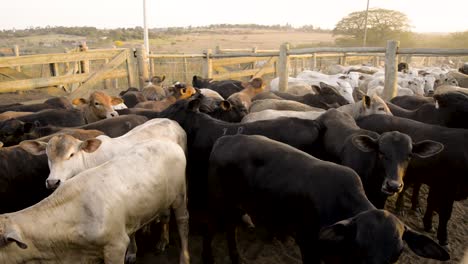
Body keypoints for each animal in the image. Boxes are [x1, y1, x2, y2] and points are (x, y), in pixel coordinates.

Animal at [356, 114, 468, 246]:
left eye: (410, 155)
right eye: (381, 153)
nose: (393, 185)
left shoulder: (437, 184)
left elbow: (431, 202)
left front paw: (428, 224)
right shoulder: (448, 186)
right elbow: (445, 213)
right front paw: (443, 238)